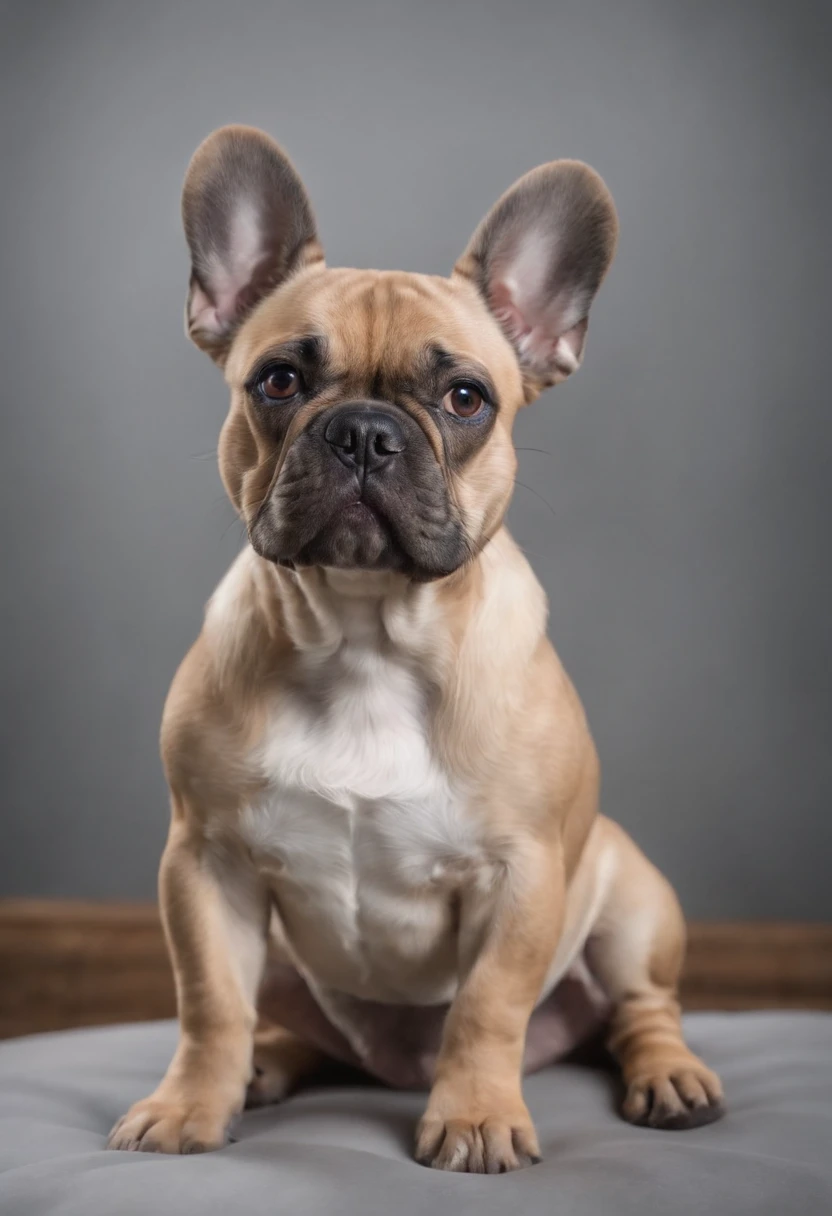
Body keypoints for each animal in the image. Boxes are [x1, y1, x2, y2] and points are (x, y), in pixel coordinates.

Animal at [108, 128, 720, 1172]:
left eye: (466, 398)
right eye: (279, 381)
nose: (363, 431)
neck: (365, 641)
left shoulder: (522, 876)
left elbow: (487, 1008)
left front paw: (475, 1117)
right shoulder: (204, 863)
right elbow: (209, 1006)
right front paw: (189, 1106)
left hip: (630, 899)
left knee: (643, 1007)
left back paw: (669, 1078)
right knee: (283, 1027)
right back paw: (264, 1070)